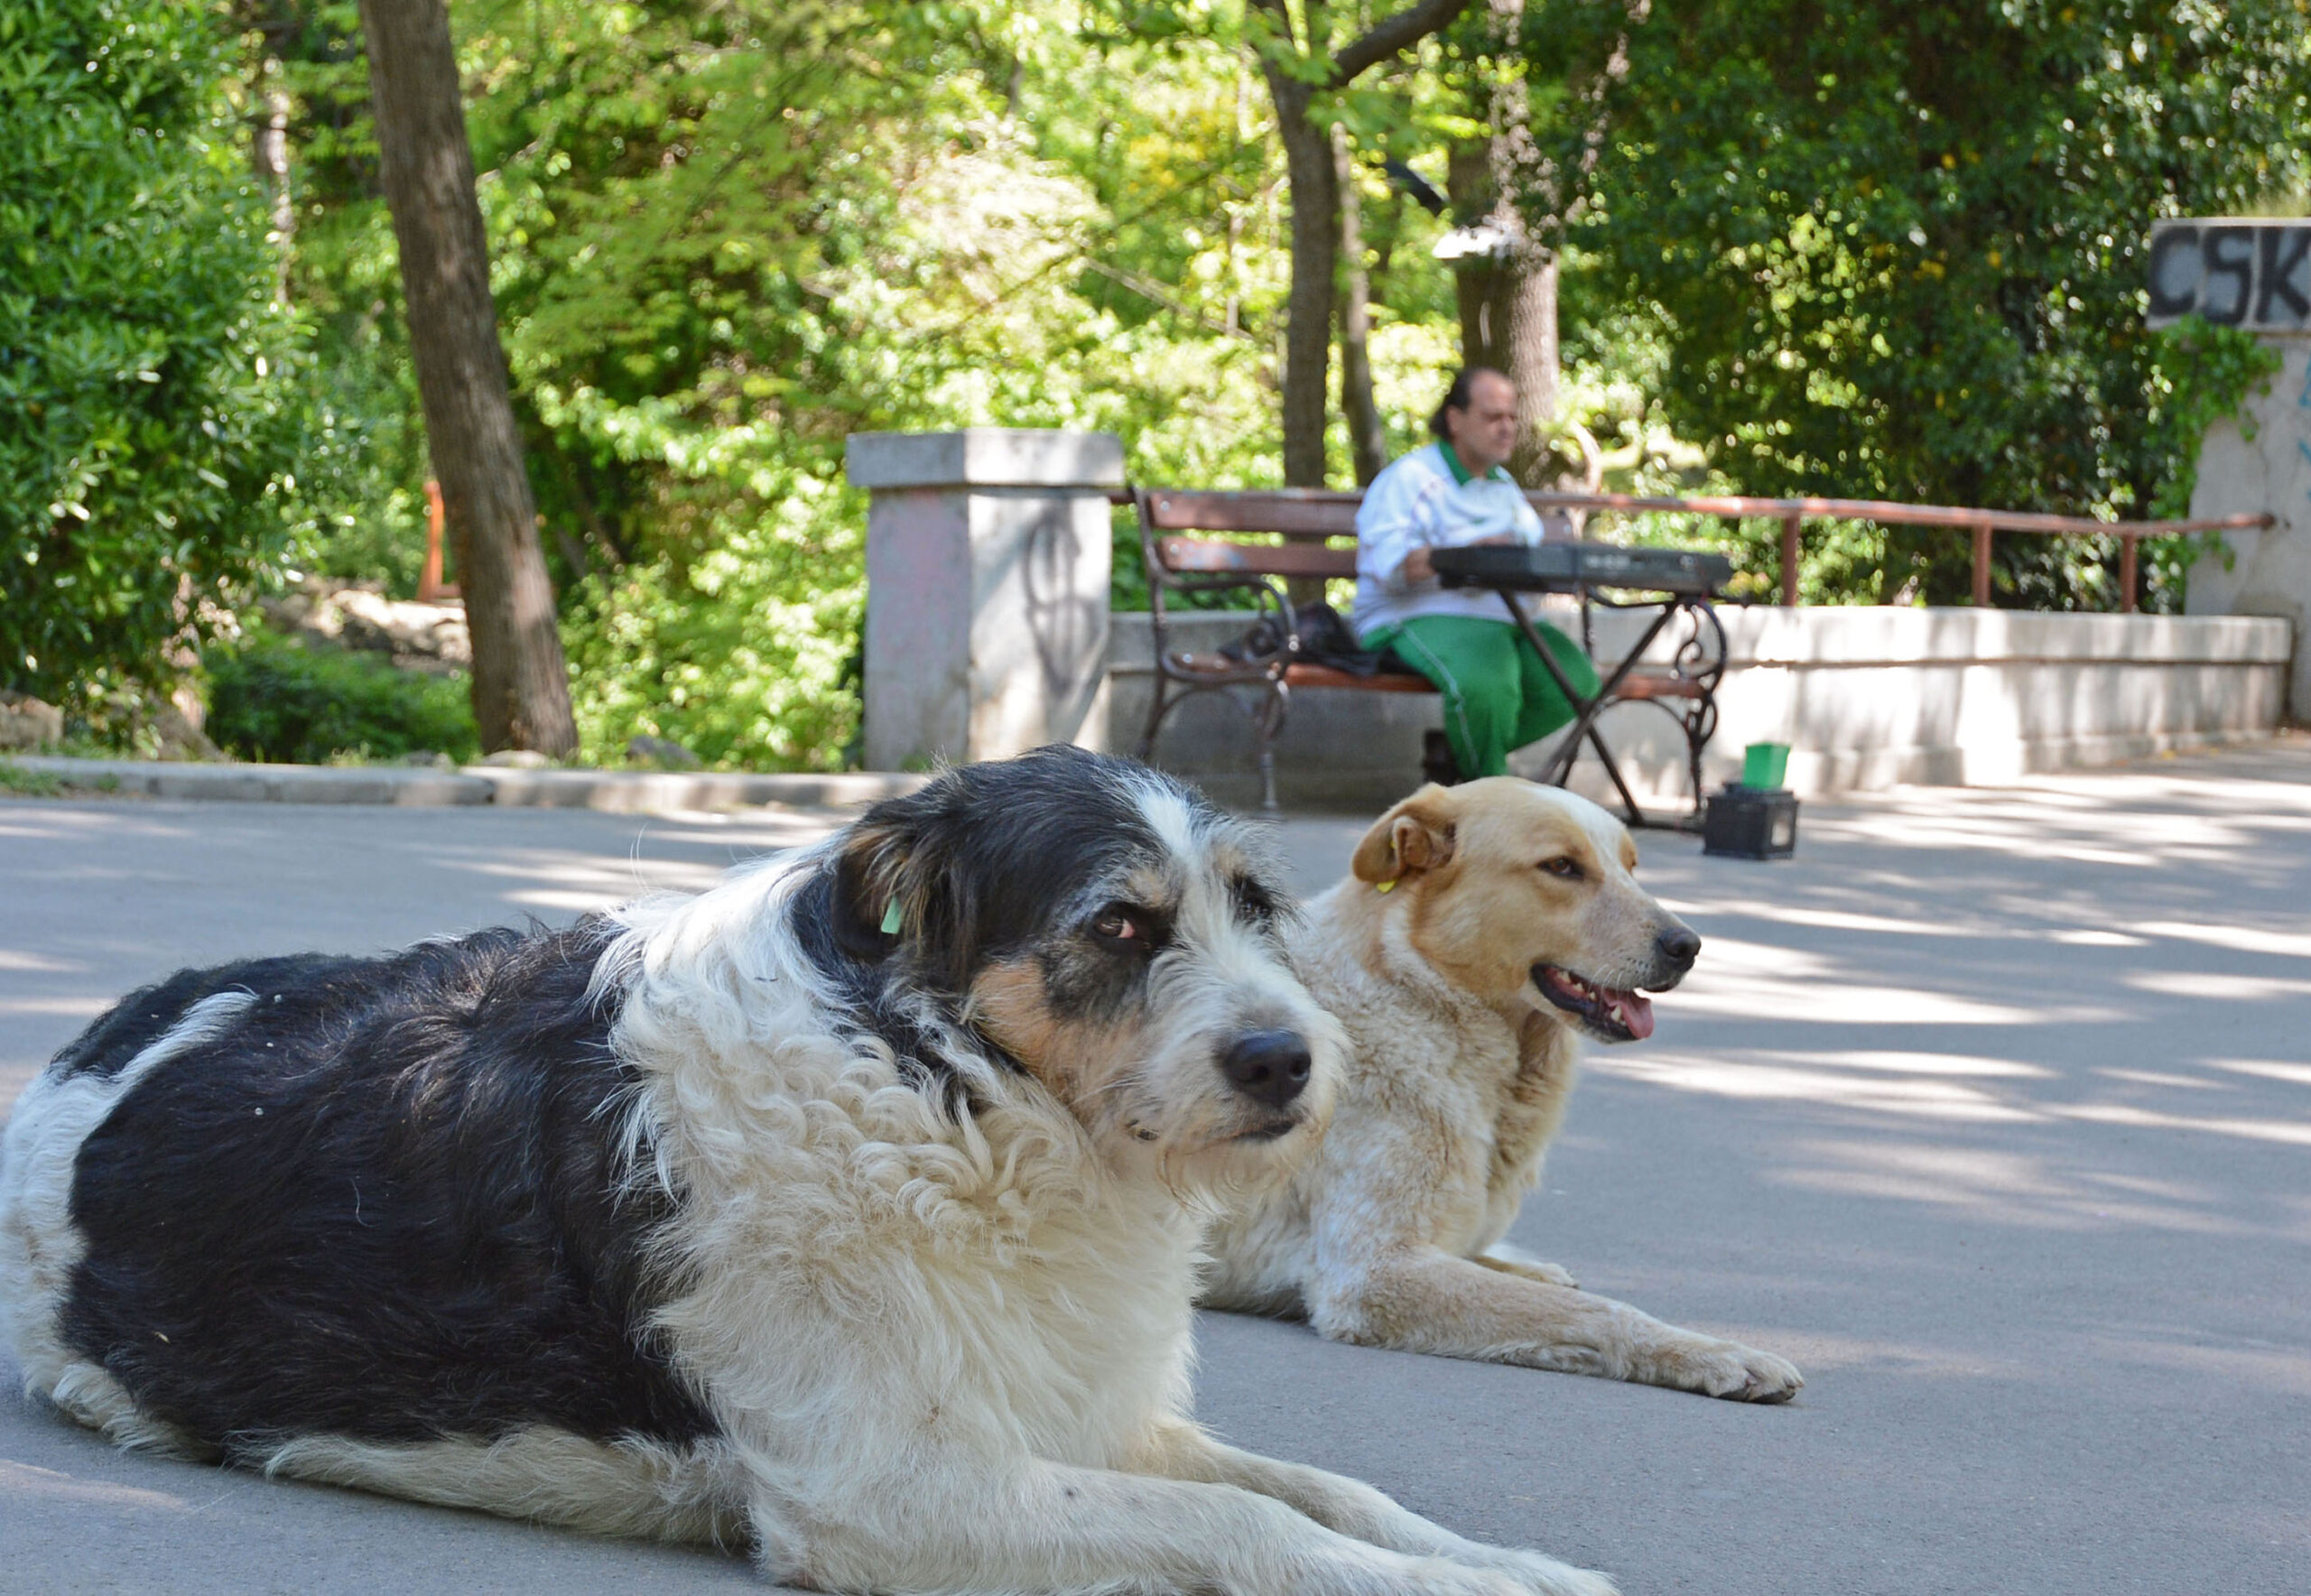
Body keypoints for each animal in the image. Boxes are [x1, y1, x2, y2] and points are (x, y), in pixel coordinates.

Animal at [0, 753, 1608, 1596]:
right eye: (1120, 926)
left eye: (1252, 909)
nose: (1292, 1061)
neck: (944, 1091)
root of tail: (88, 1052)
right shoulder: (890, 1492)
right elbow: (1254, 1526)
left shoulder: (1082, 1420)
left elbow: (1329, 1491)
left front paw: (1511, 1570)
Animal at [1211, 780, 1802, 1404]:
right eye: (1561, 867)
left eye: (1632, 867)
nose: (1688, 945)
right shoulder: (1373, 1272)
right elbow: (1596, 1310)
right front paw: (1717, 1354)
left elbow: (1530, 1279)